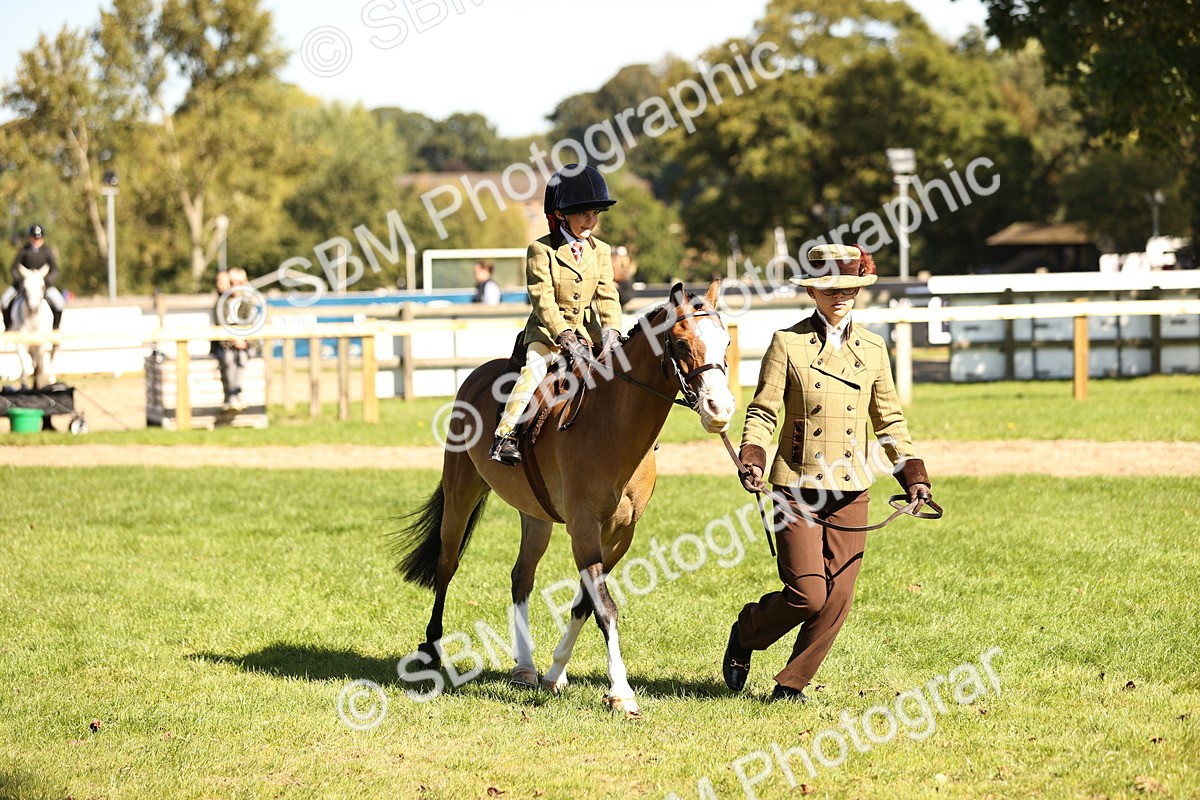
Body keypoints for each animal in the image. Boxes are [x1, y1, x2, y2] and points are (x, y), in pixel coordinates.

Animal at [391, 280, 738, 716]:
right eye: (679, 343)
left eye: (726, 341)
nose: (719, 409)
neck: (612, 423)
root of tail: (478, 373)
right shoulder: (584, 527)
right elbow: (605, 607)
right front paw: (621, 691)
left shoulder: (620, 534)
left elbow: (585, 603)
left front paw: (556, 672)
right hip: (460, 494)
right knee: (446, 566)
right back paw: (432, 648)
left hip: (535, 517)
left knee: (521, 578)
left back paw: (524, 667)